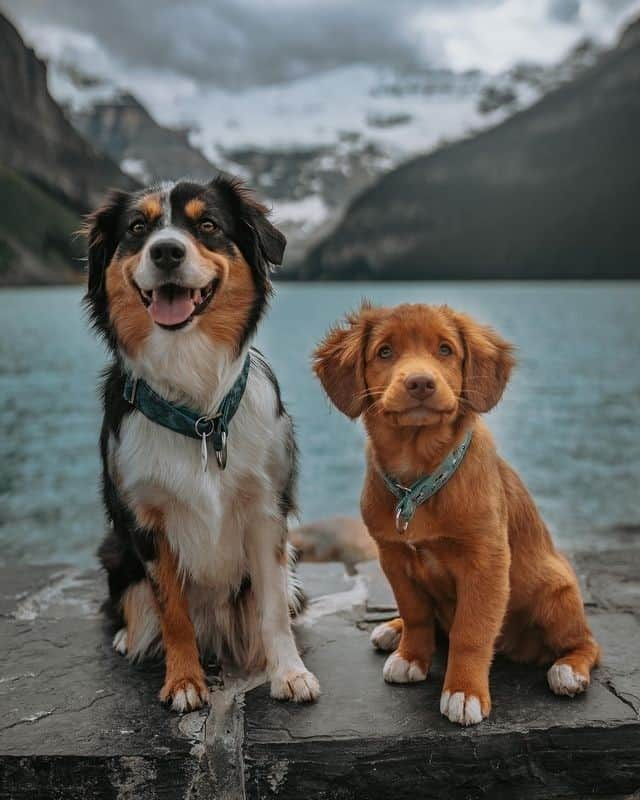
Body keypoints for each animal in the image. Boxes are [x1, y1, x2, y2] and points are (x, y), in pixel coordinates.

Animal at [86, 178, 320, 708]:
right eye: (138, 228)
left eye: (208, 224)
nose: (167, 251)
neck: (199, 416)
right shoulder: (146, 521)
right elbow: (171, 610)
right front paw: (184, 682)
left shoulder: (266, 512)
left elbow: (273, 607)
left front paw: (289, 672)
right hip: (114, 548)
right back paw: (129, 636)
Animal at [316, 302, 600, 724]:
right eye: (385, 352)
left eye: (445, 350)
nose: (420, 383)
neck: (418, 479)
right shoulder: (393, 557)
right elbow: (415, 612)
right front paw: (411, 657)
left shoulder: (486, 563)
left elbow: (471, 632)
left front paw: (464, 692)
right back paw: (392, 630)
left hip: (557, 593)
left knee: (587, 642)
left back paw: (568, 670)